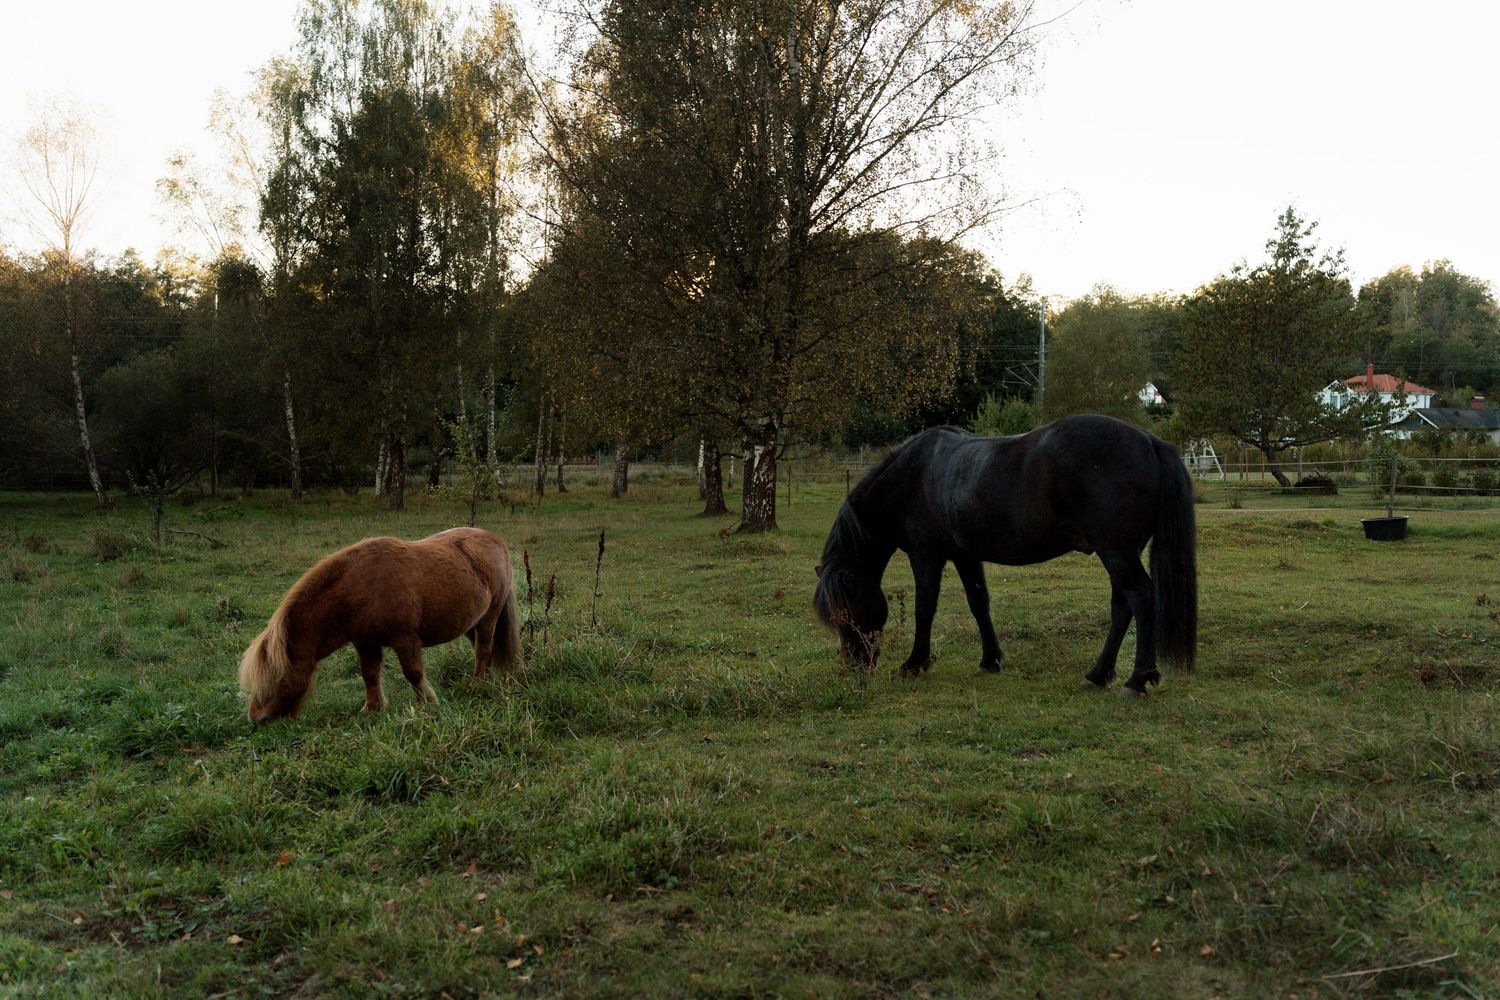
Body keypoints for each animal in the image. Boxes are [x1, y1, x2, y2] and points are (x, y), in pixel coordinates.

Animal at [238, 527, 522, 723]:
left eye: (273, 678)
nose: (255, 718)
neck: (359, 590)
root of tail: (494, 539)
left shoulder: (405, 638)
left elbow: (413, 672)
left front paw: (426, 703)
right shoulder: (365, 642)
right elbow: (369, 674)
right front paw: (372, 708)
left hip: (490, 616)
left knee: (484, 650)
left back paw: (477, 685)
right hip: (471, 623)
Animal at [813, 415, 1197, 696]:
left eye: (846, 613)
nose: (855, 664)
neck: (913, 476)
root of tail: (1149, 441)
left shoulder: (927, 556)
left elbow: (925, 609)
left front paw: (915, 663)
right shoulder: (965, 555)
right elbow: (978, 602)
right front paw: (990, 660)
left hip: (1117, 551)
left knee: (1141, 598)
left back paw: (1138, 679)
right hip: (1121, 552)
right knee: (1122, 605)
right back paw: (1099, 674)